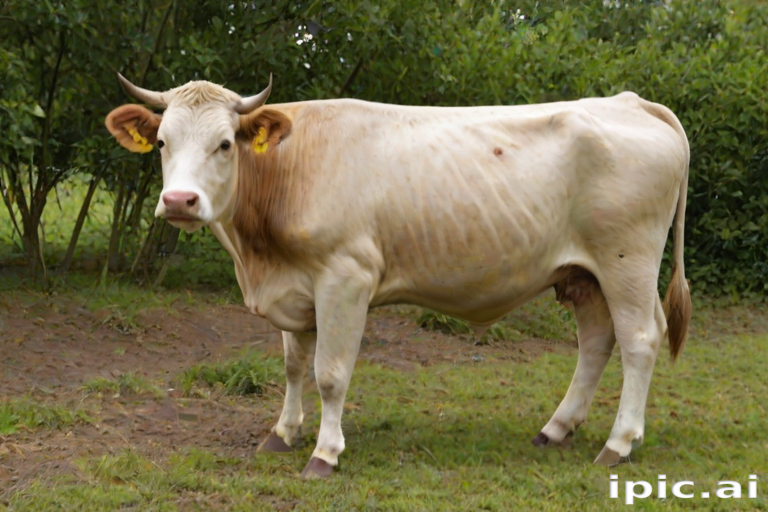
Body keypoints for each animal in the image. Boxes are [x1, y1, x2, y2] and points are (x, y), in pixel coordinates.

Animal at [105, 73, 691, 479]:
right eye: (162, 143)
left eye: (225, 143)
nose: (179, 201)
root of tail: (629, 101)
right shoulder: (295, 288)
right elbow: (293, 366)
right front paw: (283, 432)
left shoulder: (345, 277)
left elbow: (329, 372)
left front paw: (324, 453)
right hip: (585, 274)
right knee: (596, 342)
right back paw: (556, 429)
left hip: (627, 262)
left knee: (640, 340)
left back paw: (618, 443)